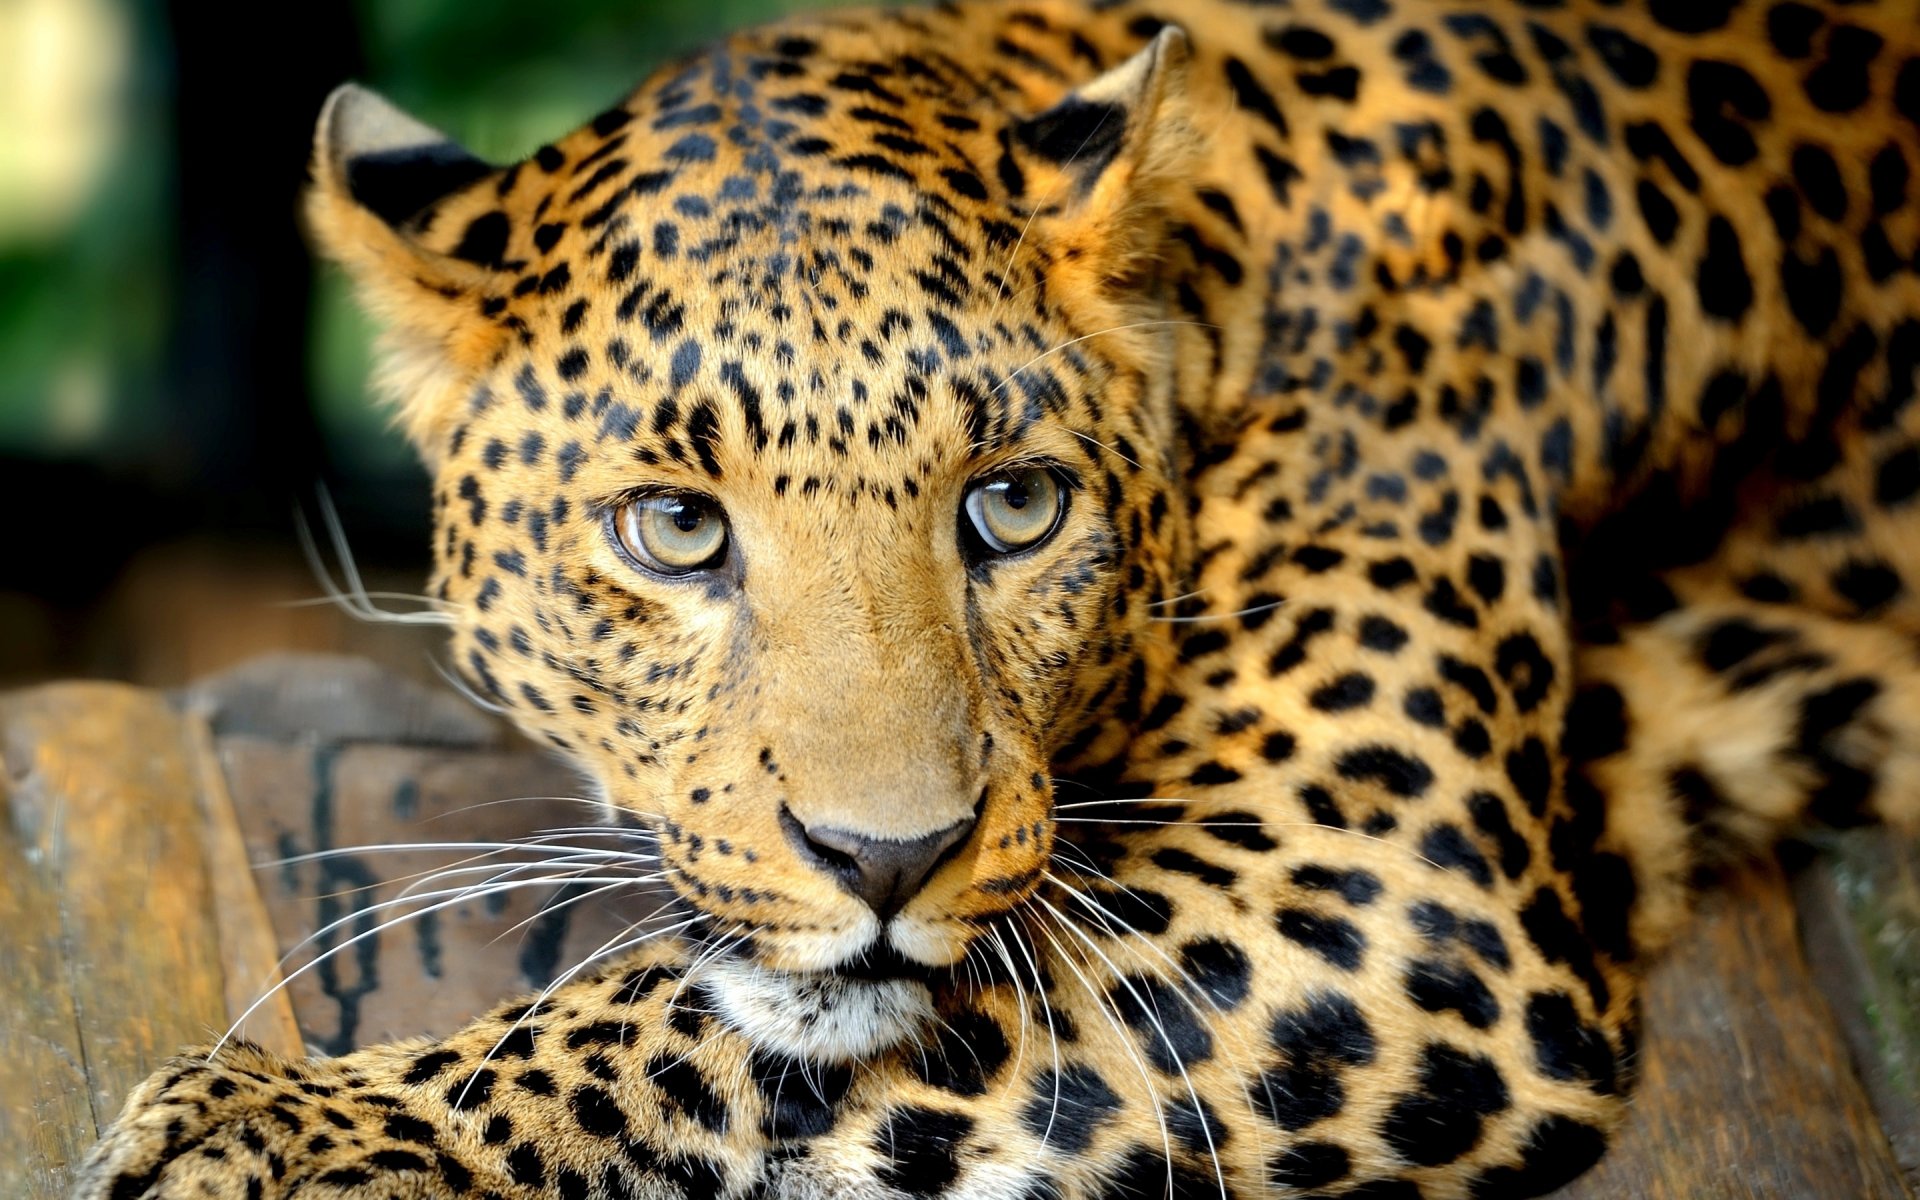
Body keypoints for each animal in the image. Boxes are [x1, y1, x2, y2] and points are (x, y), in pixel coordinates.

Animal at [74, 0, 1920, 1196]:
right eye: (674, 529)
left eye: (1013, 506)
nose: (887, 860)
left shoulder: (1387, 887)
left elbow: (704, 1013)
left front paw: (318, 1130)